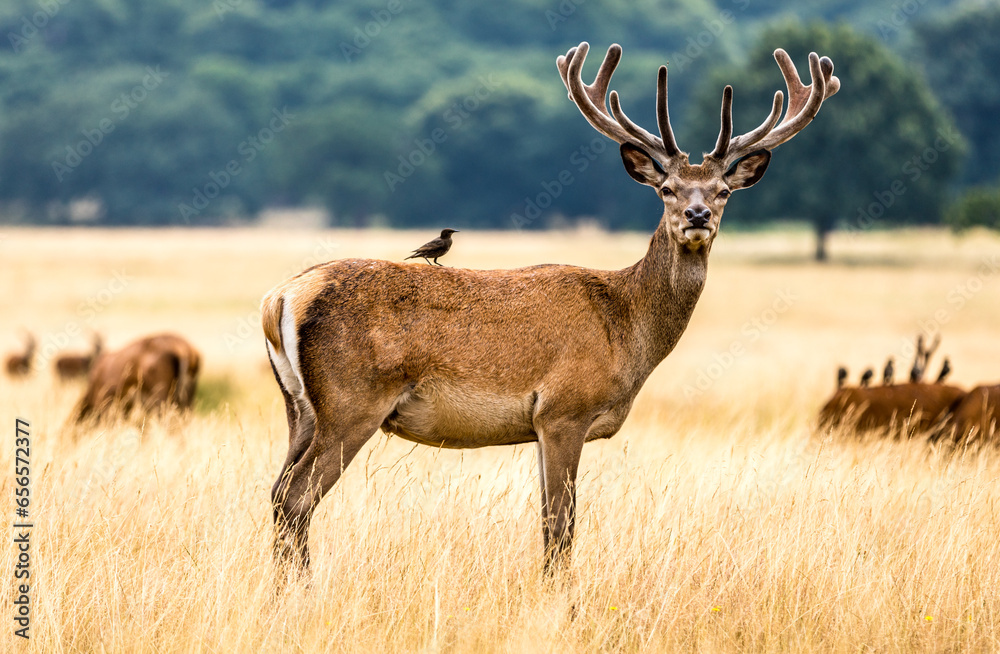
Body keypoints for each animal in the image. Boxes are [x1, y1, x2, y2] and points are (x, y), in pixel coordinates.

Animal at [261, 41, 840, 574]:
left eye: (722, 191)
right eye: (668, 189)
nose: (696, 216)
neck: (626, 327)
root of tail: (280, 298)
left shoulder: (539, 425)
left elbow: (545, 520)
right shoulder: (565, 409)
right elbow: (563, 525)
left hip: (300, 407)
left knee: (276, 490)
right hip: (352, 401)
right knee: (295, 497)